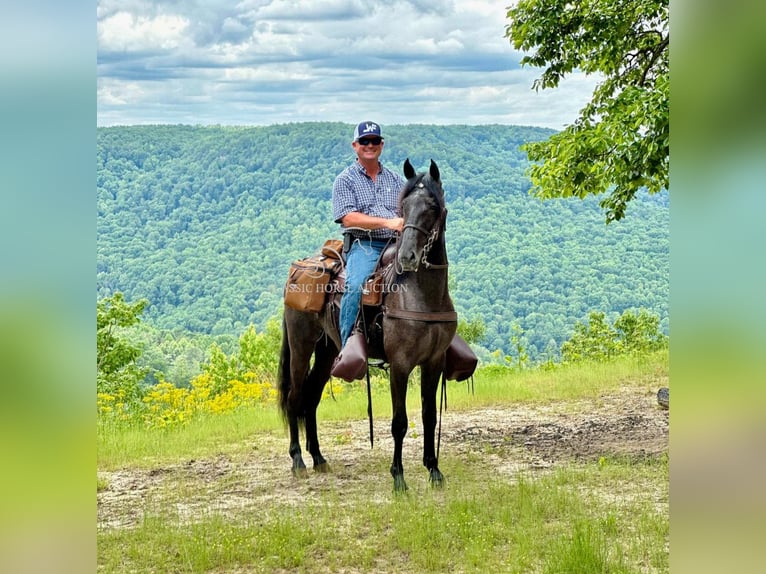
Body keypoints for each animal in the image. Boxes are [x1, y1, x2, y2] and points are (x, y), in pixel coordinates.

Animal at [278, 160, 456, 492]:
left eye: (432, 207)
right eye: (404, 206)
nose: (408, 256)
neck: (422, 295)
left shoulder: (434, 362)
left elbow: (429, 416)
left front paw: (434, 470)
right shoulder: (400, 364)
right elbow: (399, 422)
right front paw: (398, 478)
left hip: (327, 353)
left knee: (311, 397)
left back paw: (319, 459)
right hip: (300, 346)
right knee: (295, 397)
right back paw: (298, 461)